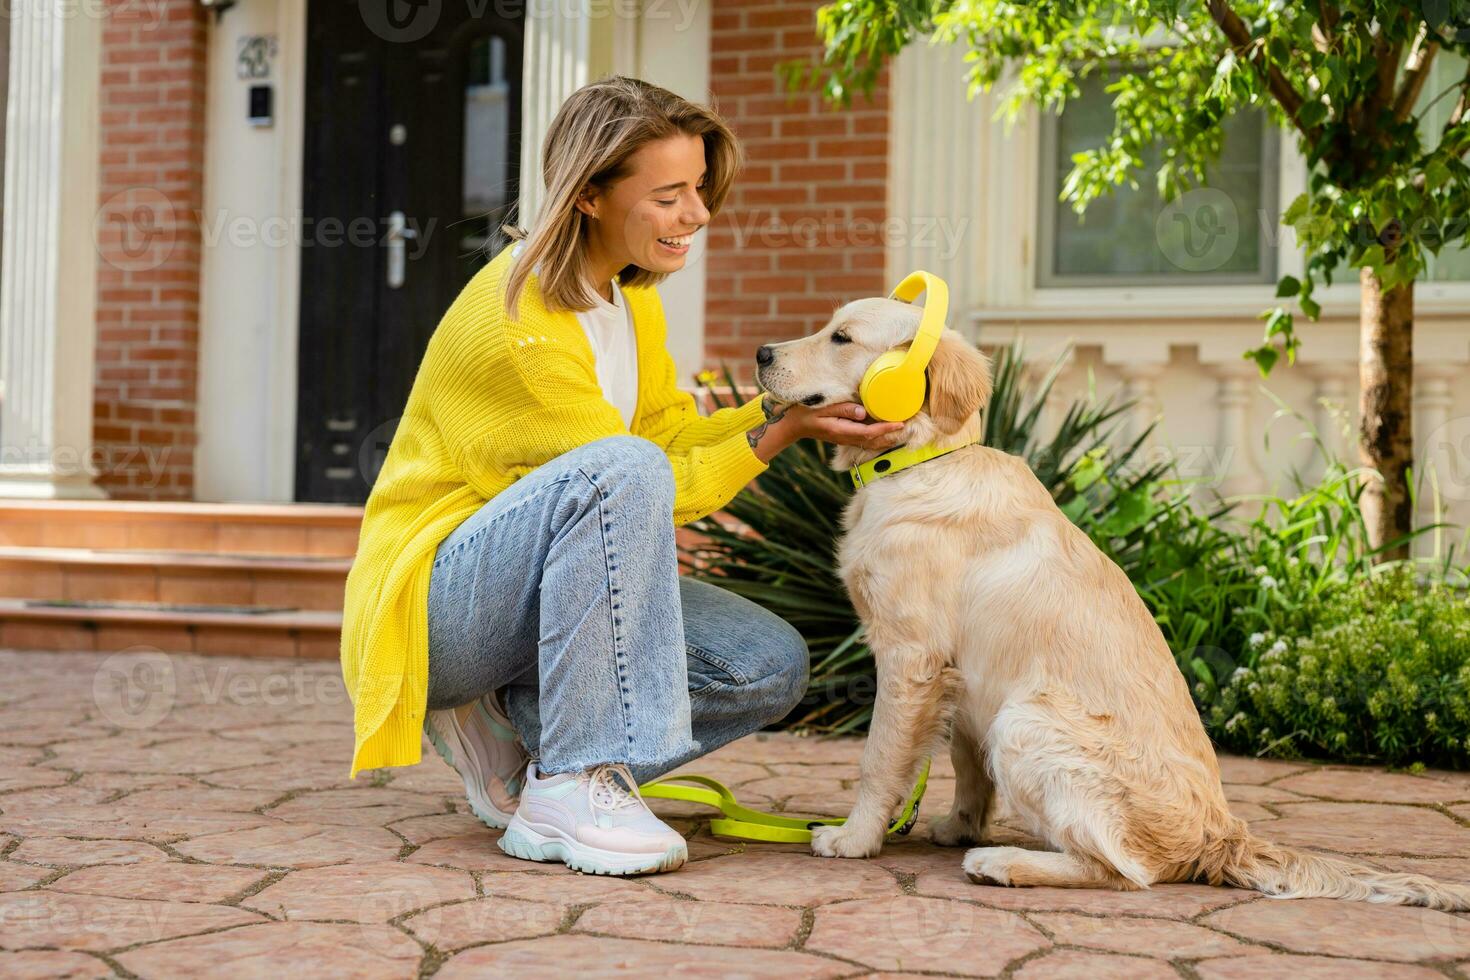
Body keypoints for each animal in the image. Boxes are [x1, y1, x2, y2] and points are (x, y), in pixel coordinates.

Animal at [758, 299, 1470, 910]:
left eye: (842, 338)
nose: (762, 352)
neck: (919, 460)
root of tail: (1221, 835)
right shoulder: (961, 675)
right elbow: (965, 765)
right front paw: (960, 825)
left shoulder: (911, 657)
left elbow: (880, 759)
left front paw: (853, 838)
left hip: (1027, 719)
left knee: (1126, 872)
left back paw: (1004, 863)